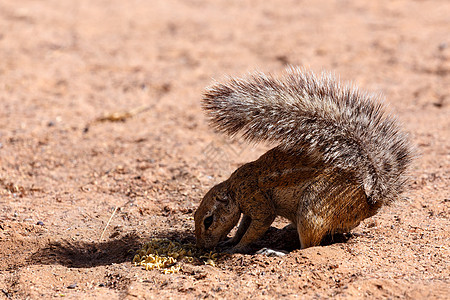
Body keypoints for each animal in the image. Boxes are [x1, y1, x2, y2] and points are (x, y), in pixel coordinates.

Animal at [195, 67, 414, 253]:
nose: (202, 247)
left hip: (313, 206)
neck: (234, 187)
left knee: (308, 246)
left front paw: (236, 248)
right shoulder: (249, 208)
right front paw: (231, 240)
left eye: (208, 220)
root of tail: (370, 201)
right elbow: (243, 225)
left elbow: (258, 225)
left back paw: (276, 251)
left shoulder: (255, 199)